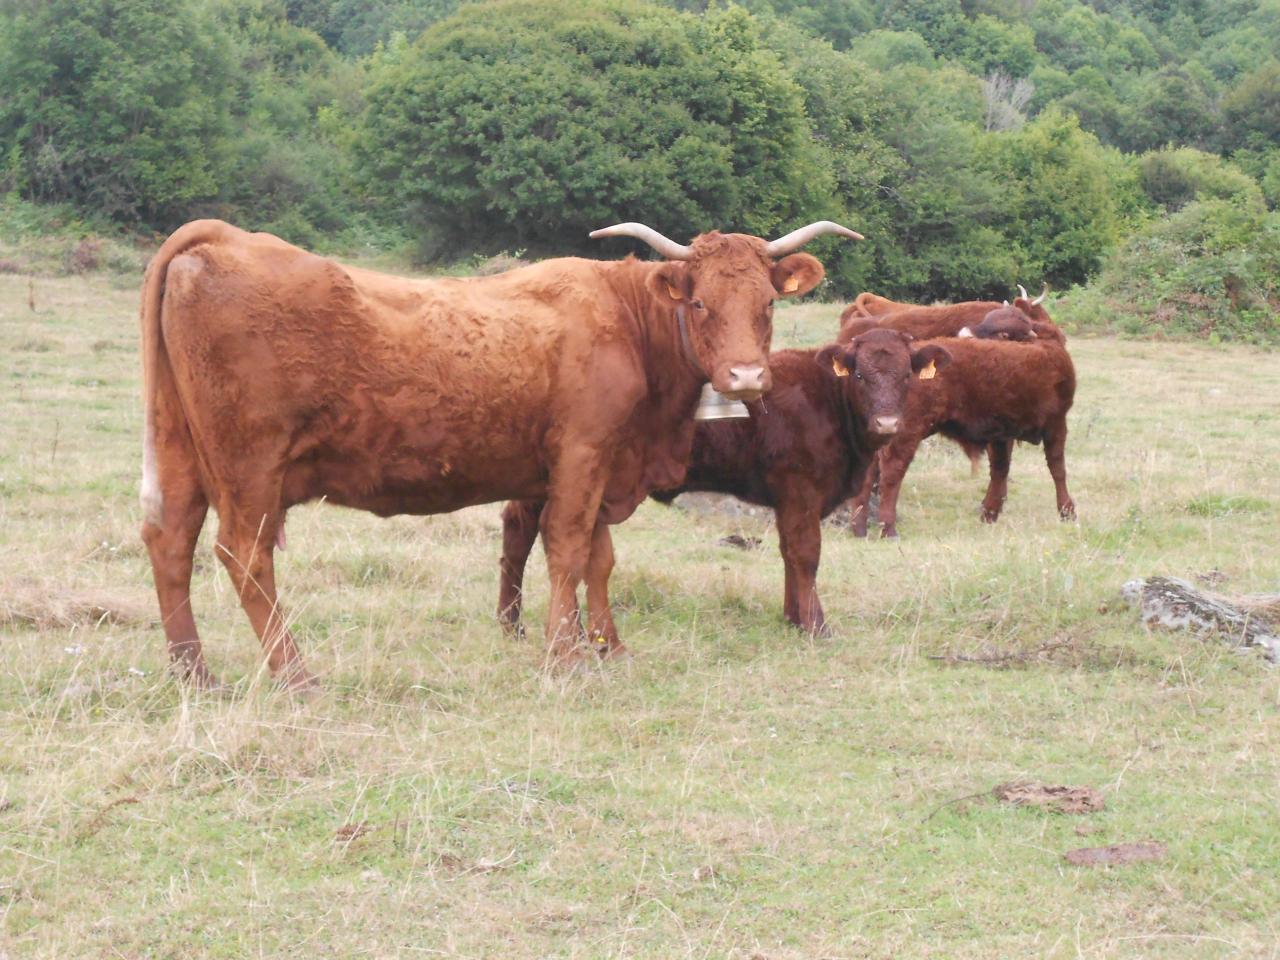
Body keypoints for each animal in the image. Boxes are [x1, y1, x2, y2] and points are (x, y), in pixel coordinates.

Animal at [138, 218, 862, 687]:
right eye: (703, 303)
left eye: (767, 305)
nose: (745, 378)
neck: (628, 325)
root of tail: (222, 236)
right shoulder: (583, 455)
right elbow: (566, 550)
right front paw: (564, 656)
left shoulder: (603, 467)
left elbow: (599, 560)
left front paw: (610, 646)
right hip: (250, 466)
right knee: (245, 555)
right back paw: (293, 672)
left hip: (180, 452)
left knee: (170, 541)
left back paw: (192, 669)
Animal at [496, 330, 953, 639]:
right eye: (859, 376)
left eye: (907, 376)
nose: (887, 423)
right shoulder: (800, 490)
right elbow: (806, 554)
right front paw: (816, 625)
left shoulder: (788, 499)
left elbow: (788, 554)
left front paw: (793, 617)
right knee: (521, 532)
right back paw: (517, 624)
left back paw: (511, 624)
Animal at [848, 324, 1076, 540]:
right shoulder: (1056, 423)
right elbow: (1057, 467)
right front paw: (1067, 512)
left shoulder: (1002, 434)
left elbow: (1000, 470)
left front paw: (989, 513)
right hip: (903, 434)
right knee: (892, 473)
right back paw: (889, 530)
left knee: (869, 473)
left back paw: (859, 529)